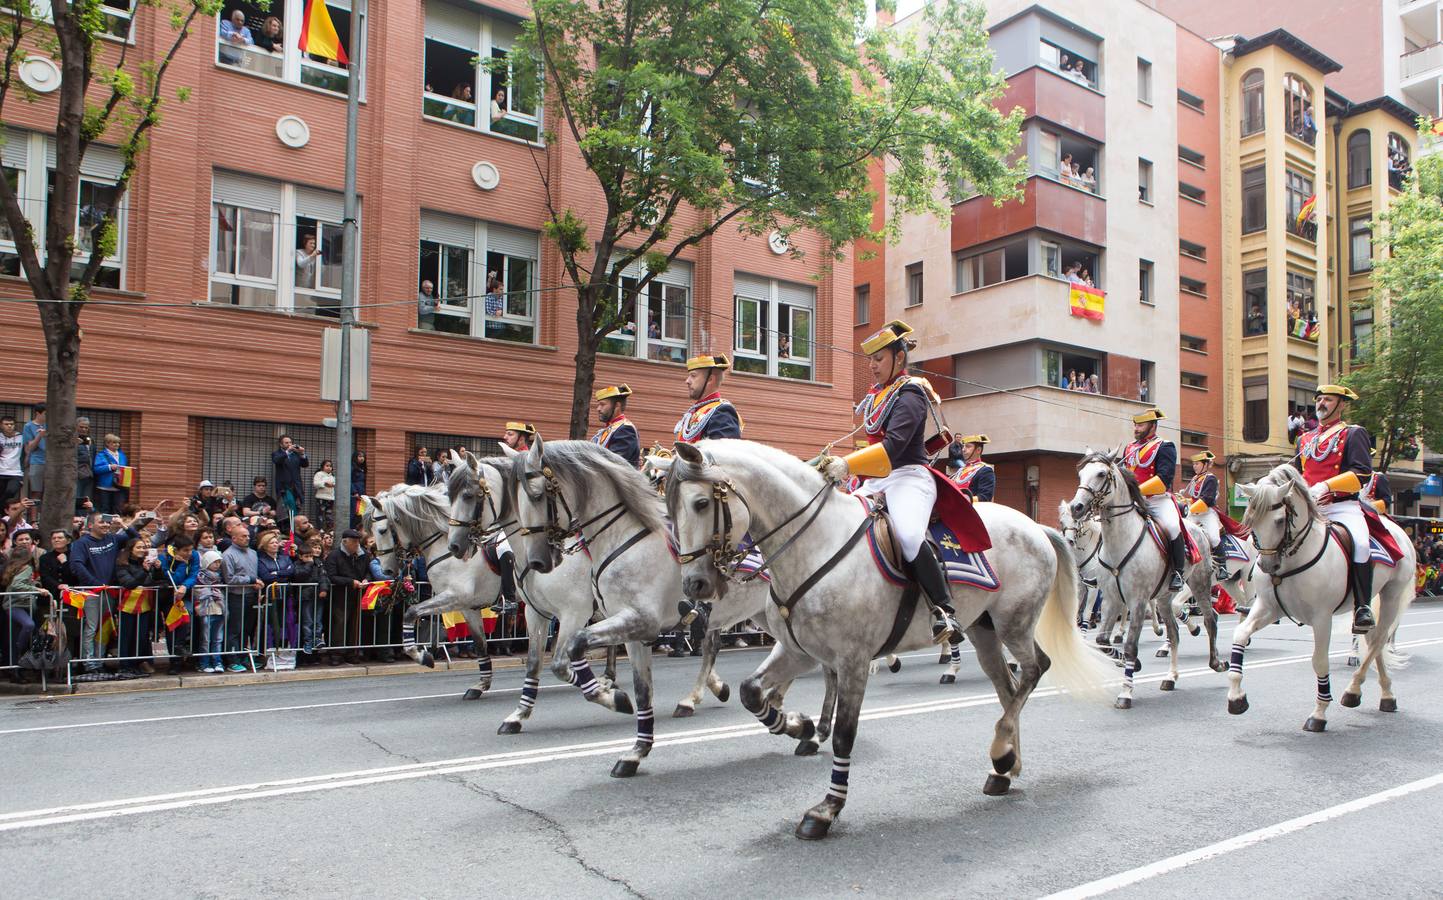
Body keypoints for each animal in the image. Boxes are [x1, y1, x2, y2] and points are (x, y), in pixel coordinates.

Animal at [660, 438, 1108, 842]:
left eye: (700, 504)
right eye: (670, 508)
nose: (693, 585)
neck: (816, 542)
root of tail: (1034, 526)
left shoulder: (853, 660)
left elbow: (845, 733)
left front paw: (826, 808)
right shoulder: (799, 651)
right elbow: (751, 692)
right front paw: (798, 725)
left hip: (1014, 624)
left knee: (1034, 669)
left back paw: (1002, 751)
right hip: (983, 631)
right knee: (1008, 686)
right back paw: (1005, 766)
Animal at [1067, 450, 1223, 709]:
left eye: (1101, 474)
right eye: (1080, 474)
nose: (1076, 507)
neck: (1120, 541)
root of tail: (1199, 529)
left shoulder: (1137, 601)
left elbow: (1131, 646)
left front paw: (1126, 692)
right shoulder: (1111, 599)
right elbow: (1102, 640)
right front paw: (1128, 662)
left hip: (1200, 584)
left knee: (1211, 620)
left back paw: (1217, 662)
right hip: (1164, 597)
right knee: (1174, 632)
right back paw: (1170, 677)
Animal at [1223, 464, 1414, 732]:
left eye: (1279, 520)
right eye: (1250, 520)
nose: (1267, 565)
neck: (1292, 560)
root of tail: (1394, 528)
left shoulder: (1322, 617)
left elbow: (1320, 661)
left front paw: (1319, 713)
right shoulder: (1269, 608)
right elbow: (1240, 634)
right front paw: (1236, 697)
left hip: (1392, 594)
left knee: (1378, 641)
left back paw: (1353, 690)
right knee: (1373, 641)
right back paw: (1385, 694)